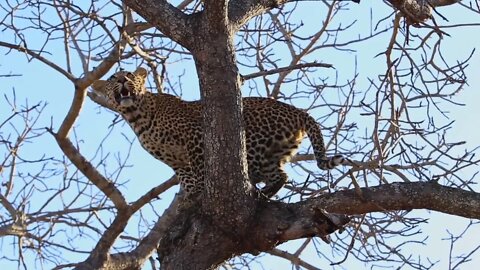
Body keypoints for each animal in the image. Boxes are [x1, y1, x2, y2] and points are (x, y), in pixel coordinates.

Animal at [91, 67, 344, 202]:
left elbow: (200, 167)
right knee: (281, 175)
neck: (136, 116)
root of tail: (299, 111)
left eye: (130, 74)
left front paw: (201, 192)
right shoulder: (176, 161)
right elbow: (187, 177)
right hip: (273, 151)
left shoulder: (194, 135)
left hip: (252, 140)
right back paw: (264, 193)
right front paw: (191, 197)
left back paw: (257, 192)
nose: (123, 79)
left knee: (271, 174)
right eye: (113, 78)